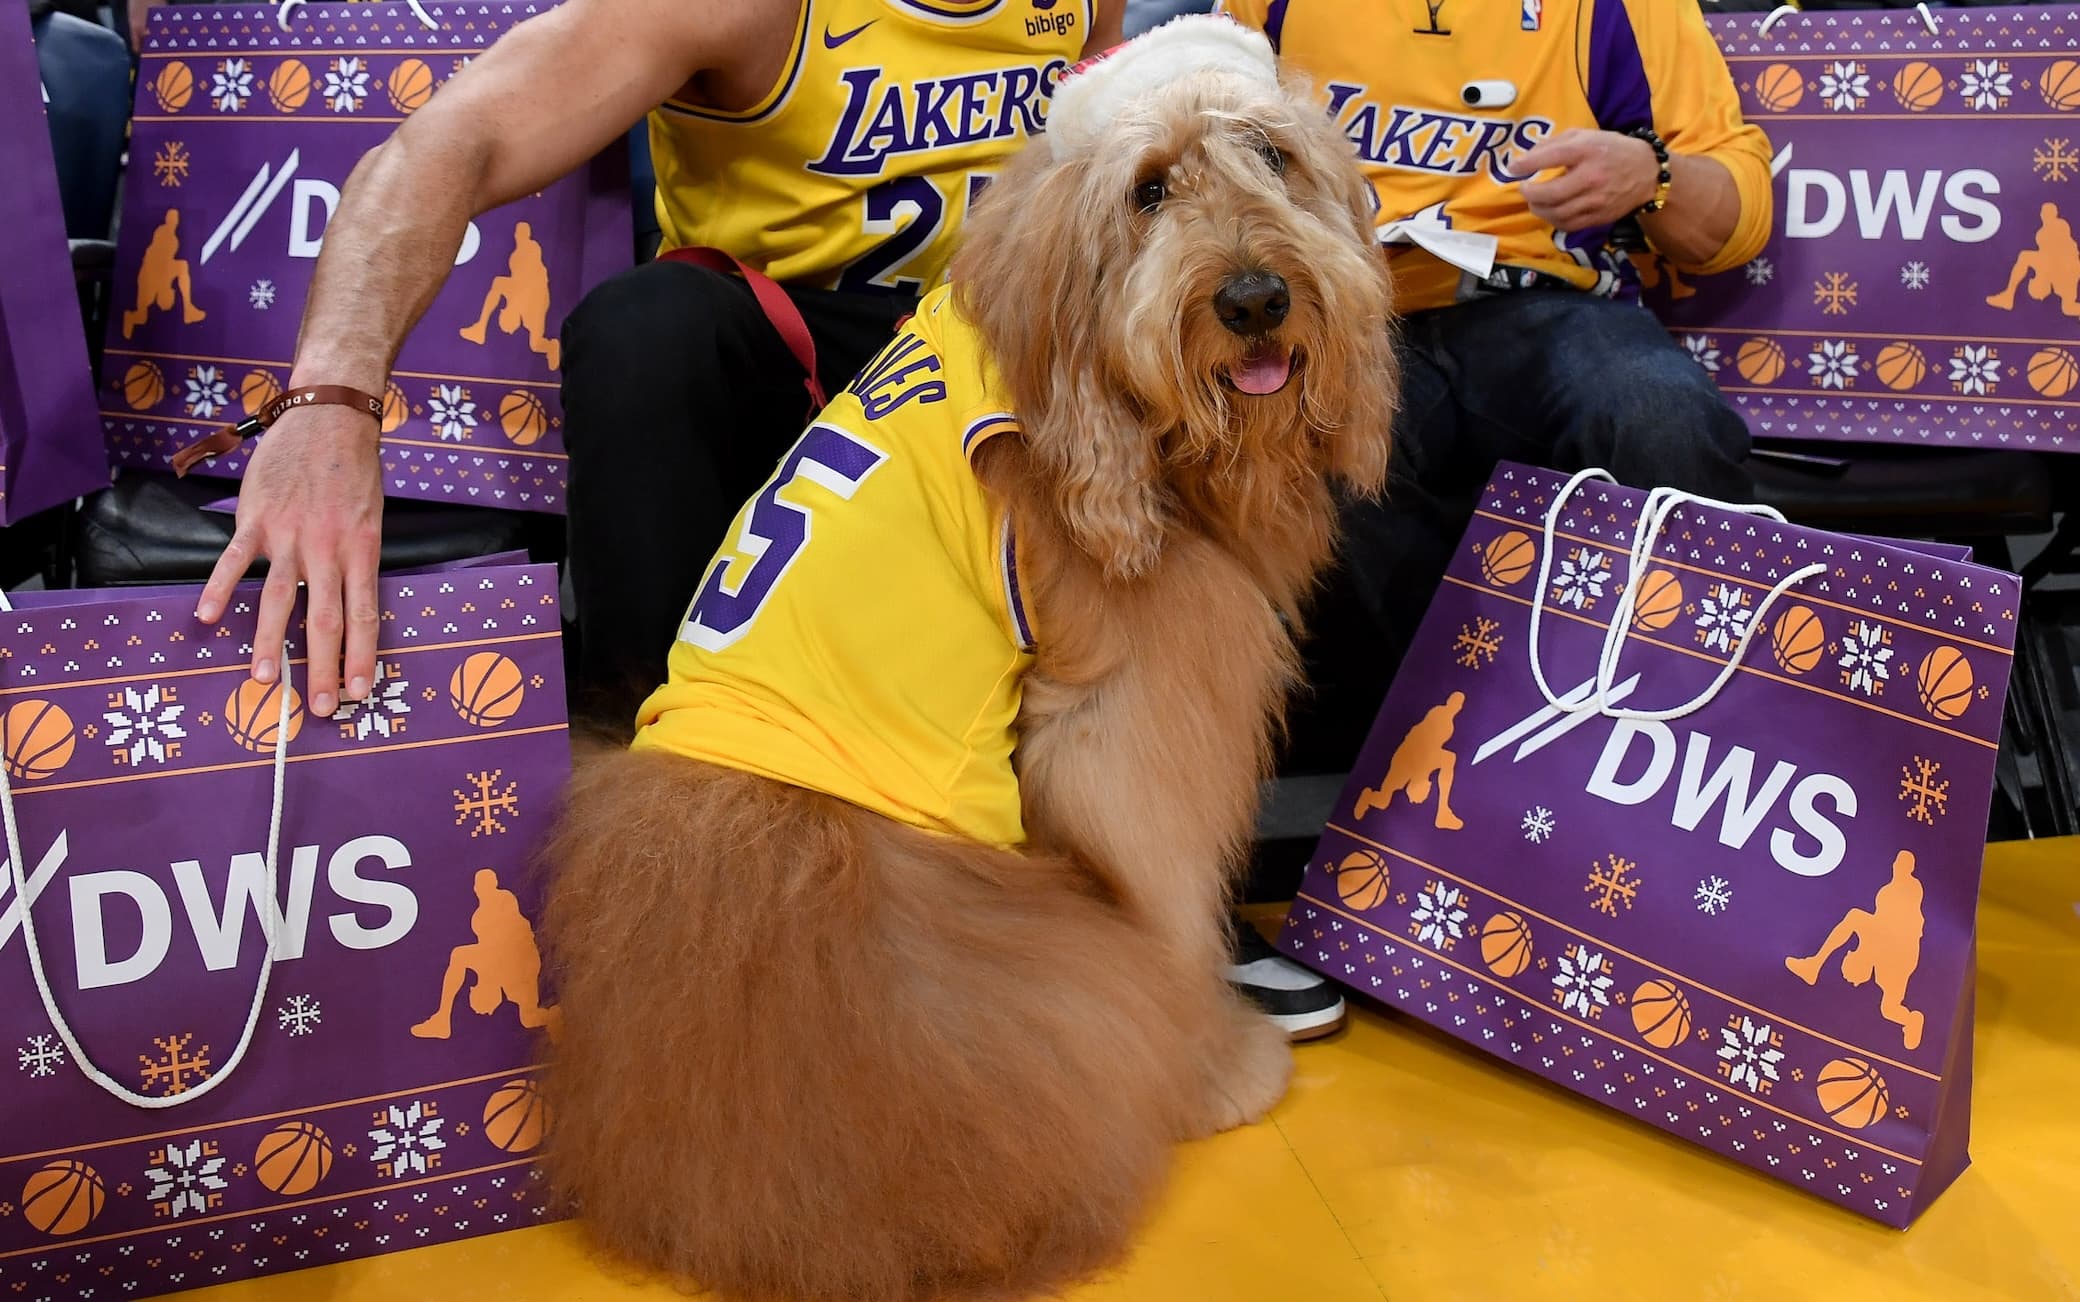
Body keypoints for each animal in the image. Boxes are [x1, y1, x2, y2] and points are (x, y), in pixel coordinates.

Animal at [544, 20, 1406, 1297]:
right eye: (1149, 191)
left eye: (1271, 155)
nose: (1255, 298)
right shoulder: (1125, 715)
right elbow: (1164, 895)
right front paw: (1213, 1068)